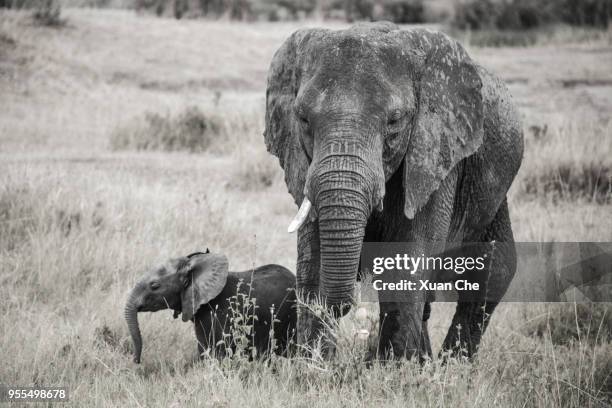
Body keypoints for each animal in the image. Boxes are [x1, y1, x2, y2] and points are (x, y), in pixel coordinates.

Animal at [266, 22, 524, 360]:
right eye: (303, 119)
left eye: (395, 121)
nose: (346, 306)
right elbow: (313, 265)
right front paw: (314, 364)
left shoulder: (435, 157)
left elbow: (406, 263)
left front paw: (392, 368)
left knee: (491, 271)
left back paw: (451, 365)